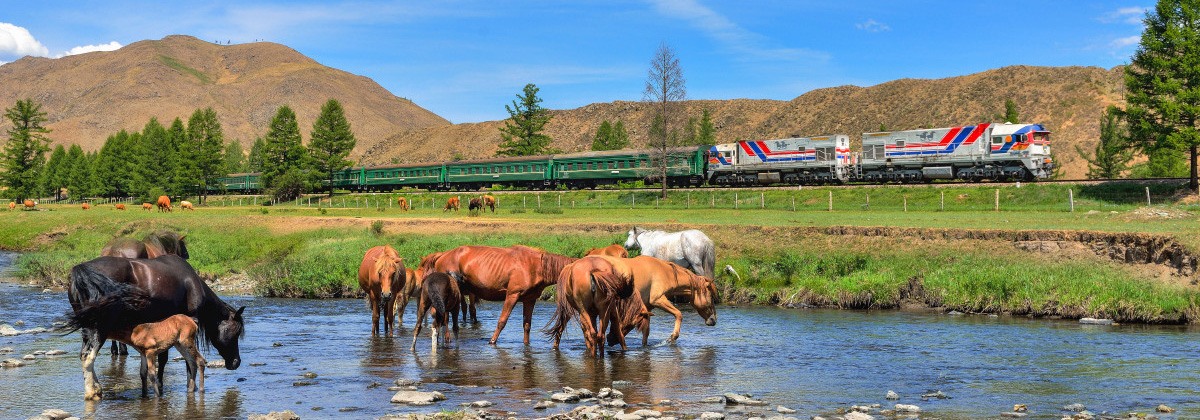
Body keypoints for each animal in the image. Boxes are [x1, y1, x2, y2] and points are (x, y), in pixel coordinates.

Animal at [63, 312, 204, 396]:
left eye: (85, 336)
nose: (83, 353)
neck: (135, 331)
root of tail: (193, 321)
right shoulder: (143, 353)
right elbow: (143, 374)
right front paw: (144, 395)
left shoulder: (151, 351)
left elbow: (152, 374)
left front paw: (157, 396)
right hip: (179, 344)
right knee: (192, 363)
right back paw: (191, 390)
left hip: (187, 341)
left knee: (200, 361)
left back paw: (201, 390)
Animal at [420, 242, 573, 345]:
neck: (535, 265)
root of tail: (441, 255)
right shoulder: (512, 295)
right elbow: (502, 321)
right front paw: (492, 341)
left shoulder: (530, 299)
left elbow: (527, 325)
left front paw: (526, 344)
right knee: (445, 318)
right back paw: (447, 339)